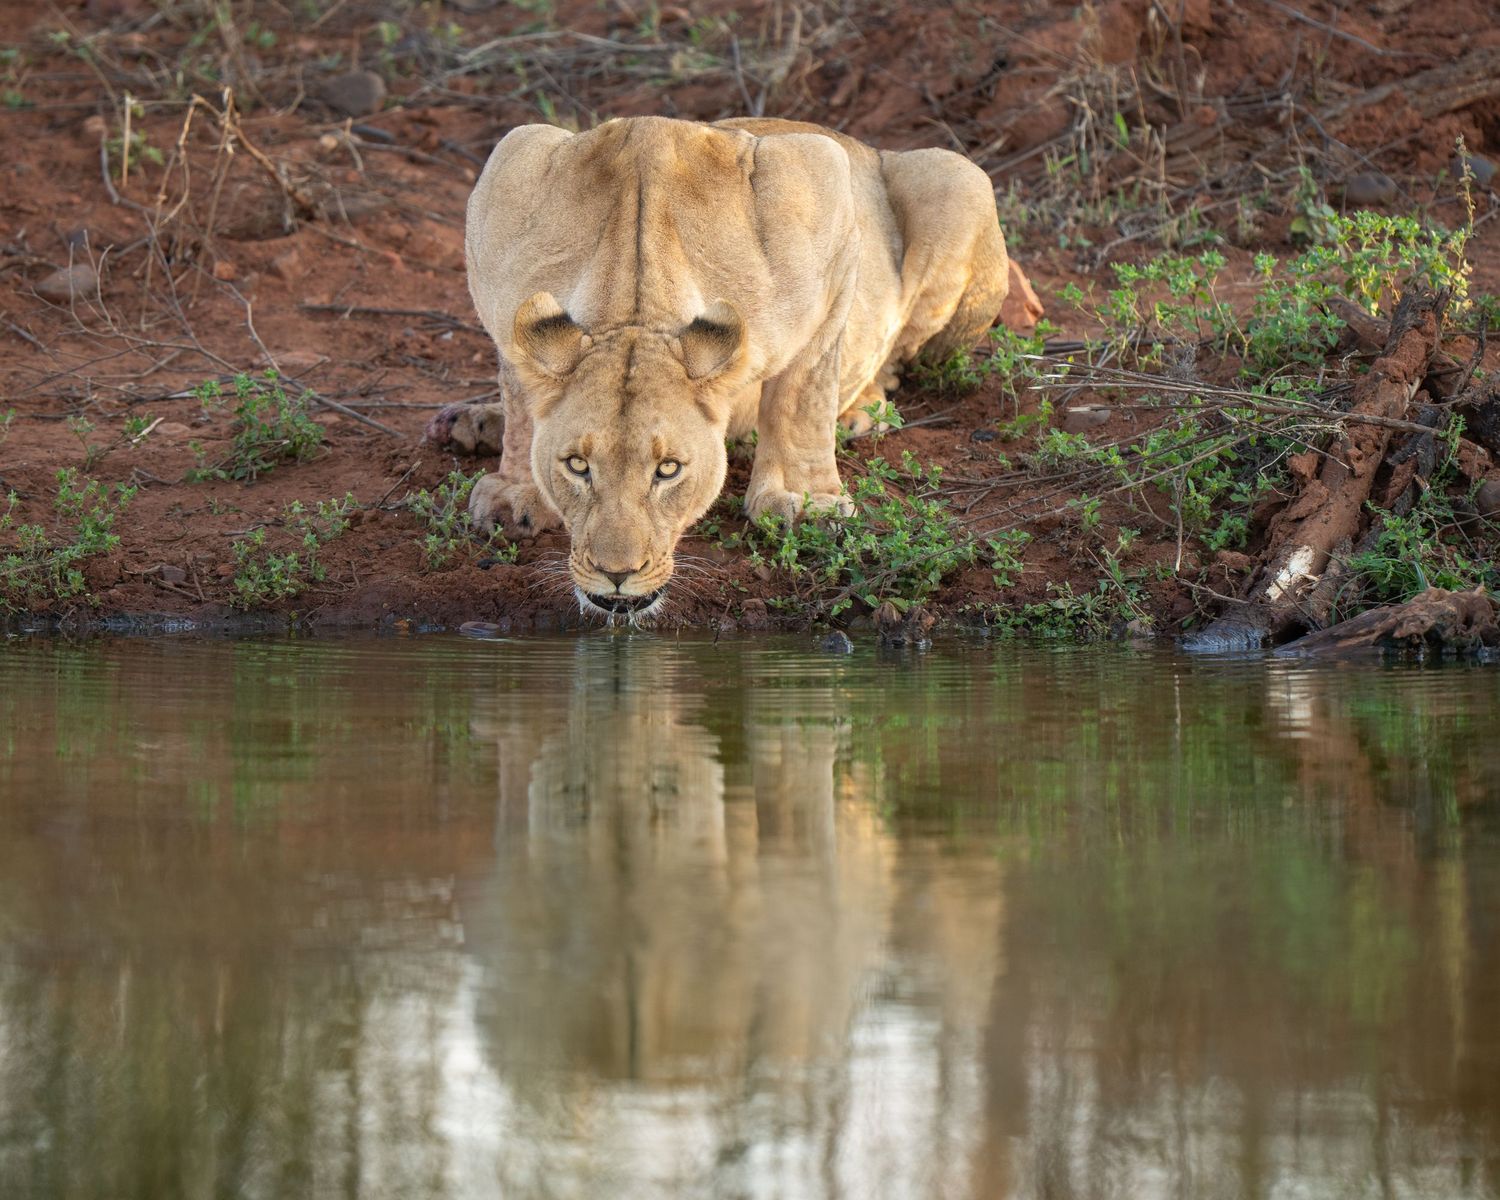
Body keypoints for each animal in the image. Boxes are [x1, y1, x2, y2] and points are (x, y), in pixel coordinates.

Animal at [446, 115, 1010, 620]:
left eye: (668, 469)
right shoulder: (511, 172)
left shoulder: (824, 185)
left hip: (957, 176)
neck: (633, 304)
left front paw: (803, 501)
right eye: (577, 466)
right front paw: (515, 490)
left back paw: (858, 414)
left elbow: (802, 395)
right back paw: (473, 421)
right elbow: (520, 397)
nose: (616, 574)